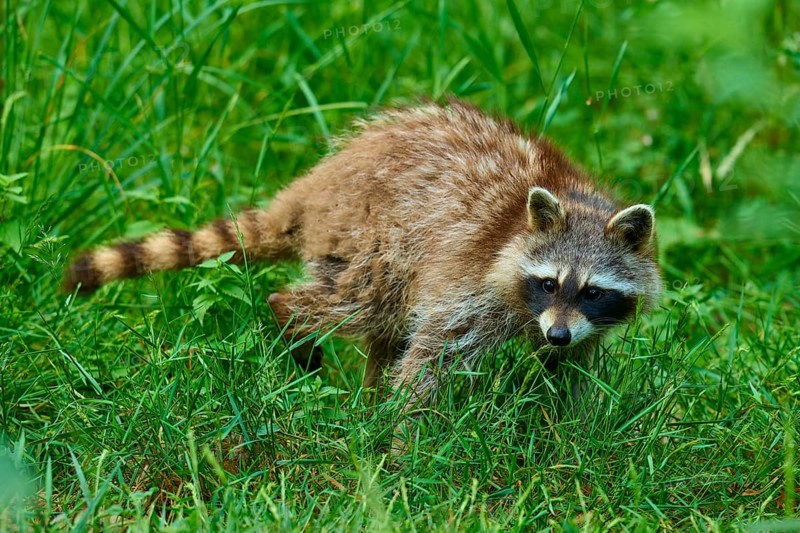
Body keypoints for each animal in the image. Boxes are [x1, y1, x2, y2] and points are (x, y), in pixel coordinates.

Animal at [65, 99, 662, 414]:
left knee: (386, 326)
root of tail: (318, 184)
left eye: (593, 291)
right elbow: (432, 356)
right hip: (371, 237)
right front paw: (405, 446)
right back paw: (295, 326)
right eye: (550, 282)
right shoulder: (476, 284)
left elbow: (567, 368)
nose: (556, 334)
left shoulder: (578, 322)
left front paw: (563, 415)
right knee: (359, 303)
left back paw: (369, 393)